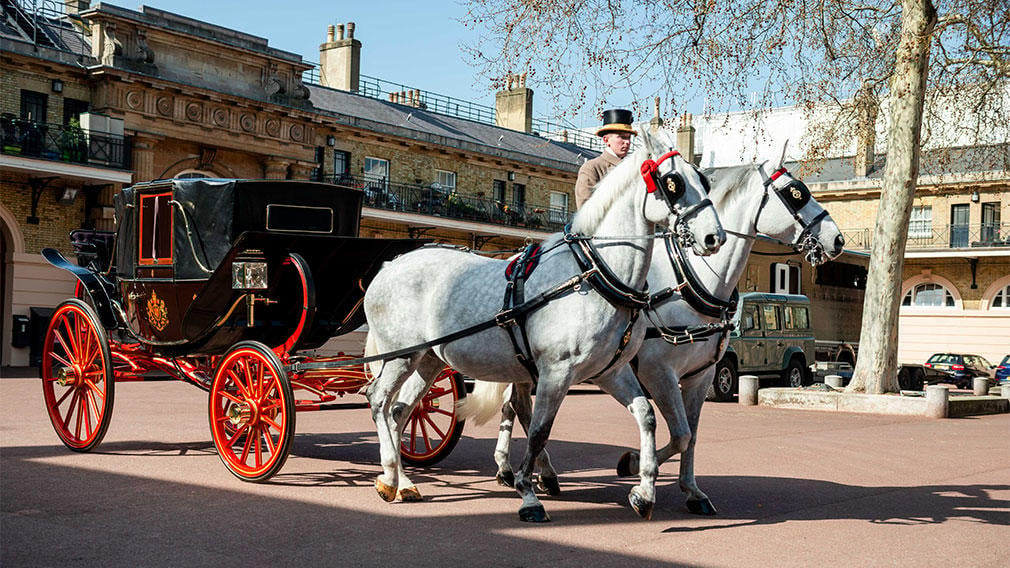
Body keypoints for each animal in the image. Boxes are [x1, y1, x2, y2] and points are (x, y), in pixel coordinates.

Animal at [363, 125, 727, 521]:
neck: (594, 274)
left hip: (428, 359)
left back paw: (402, 481)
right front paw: (528, 493)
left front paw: (643, 491)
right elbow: (539, 430)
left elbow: (646, 417)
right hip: (400, 355)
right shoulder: (557, 371)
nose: (715, 238)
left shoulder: (611, 372)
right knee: (379, 401)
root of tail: (389, 266)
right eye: (673, 182)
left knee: (400, 411)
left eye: (704, 180)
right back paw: (390, 475)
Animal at [464, 155, 844, 513]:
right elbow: (680, 434)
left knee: (515, 407)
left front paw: (691, 491)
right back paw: (533, 473)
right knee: (521, 409)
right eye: (796, 193)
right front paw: (634, 465)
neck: (690, 282)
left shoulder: (701, 376)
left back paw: (519, 470)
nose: (837, 239)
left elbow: (691, 436)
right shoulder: (658, 372)